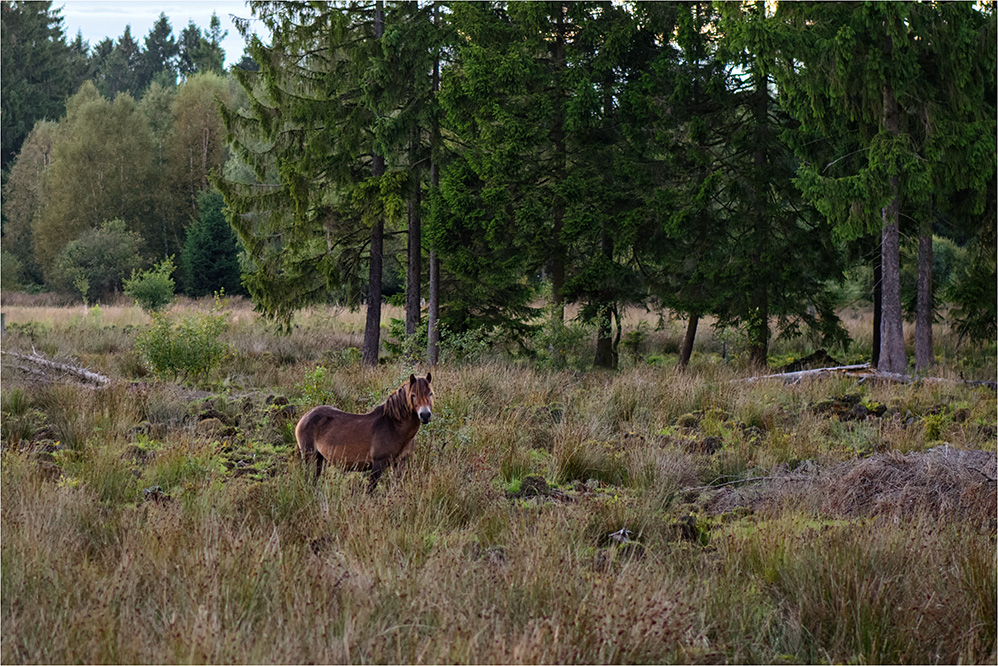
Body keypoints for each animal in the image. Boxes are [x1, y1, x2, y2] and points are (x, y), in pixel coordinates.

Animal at [296, 374, 438, 488]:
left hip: (319, 459)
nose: (425, 415)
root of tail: (304, 417)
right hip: (310, 457)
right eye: (413, 395)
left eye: (430, 393)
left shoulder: (400, 463)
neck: (393, 426)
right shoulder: (378, 464)